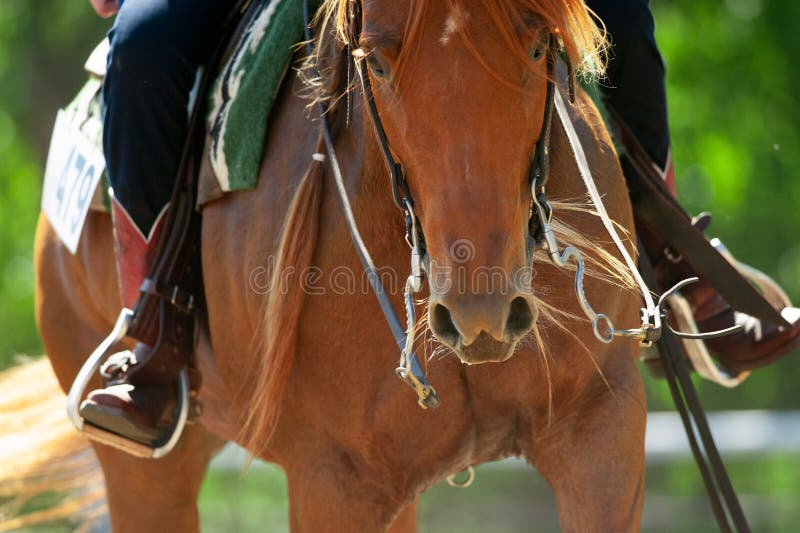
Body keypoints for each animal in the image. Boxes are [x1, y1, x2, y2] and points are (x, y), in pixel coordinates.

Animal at [24, 0, 647, 530]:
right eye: (377, 64)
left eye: (539, 47)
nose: (481, 312)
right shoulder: (333, 480)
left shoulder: (600, 428)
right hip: (146, 471)